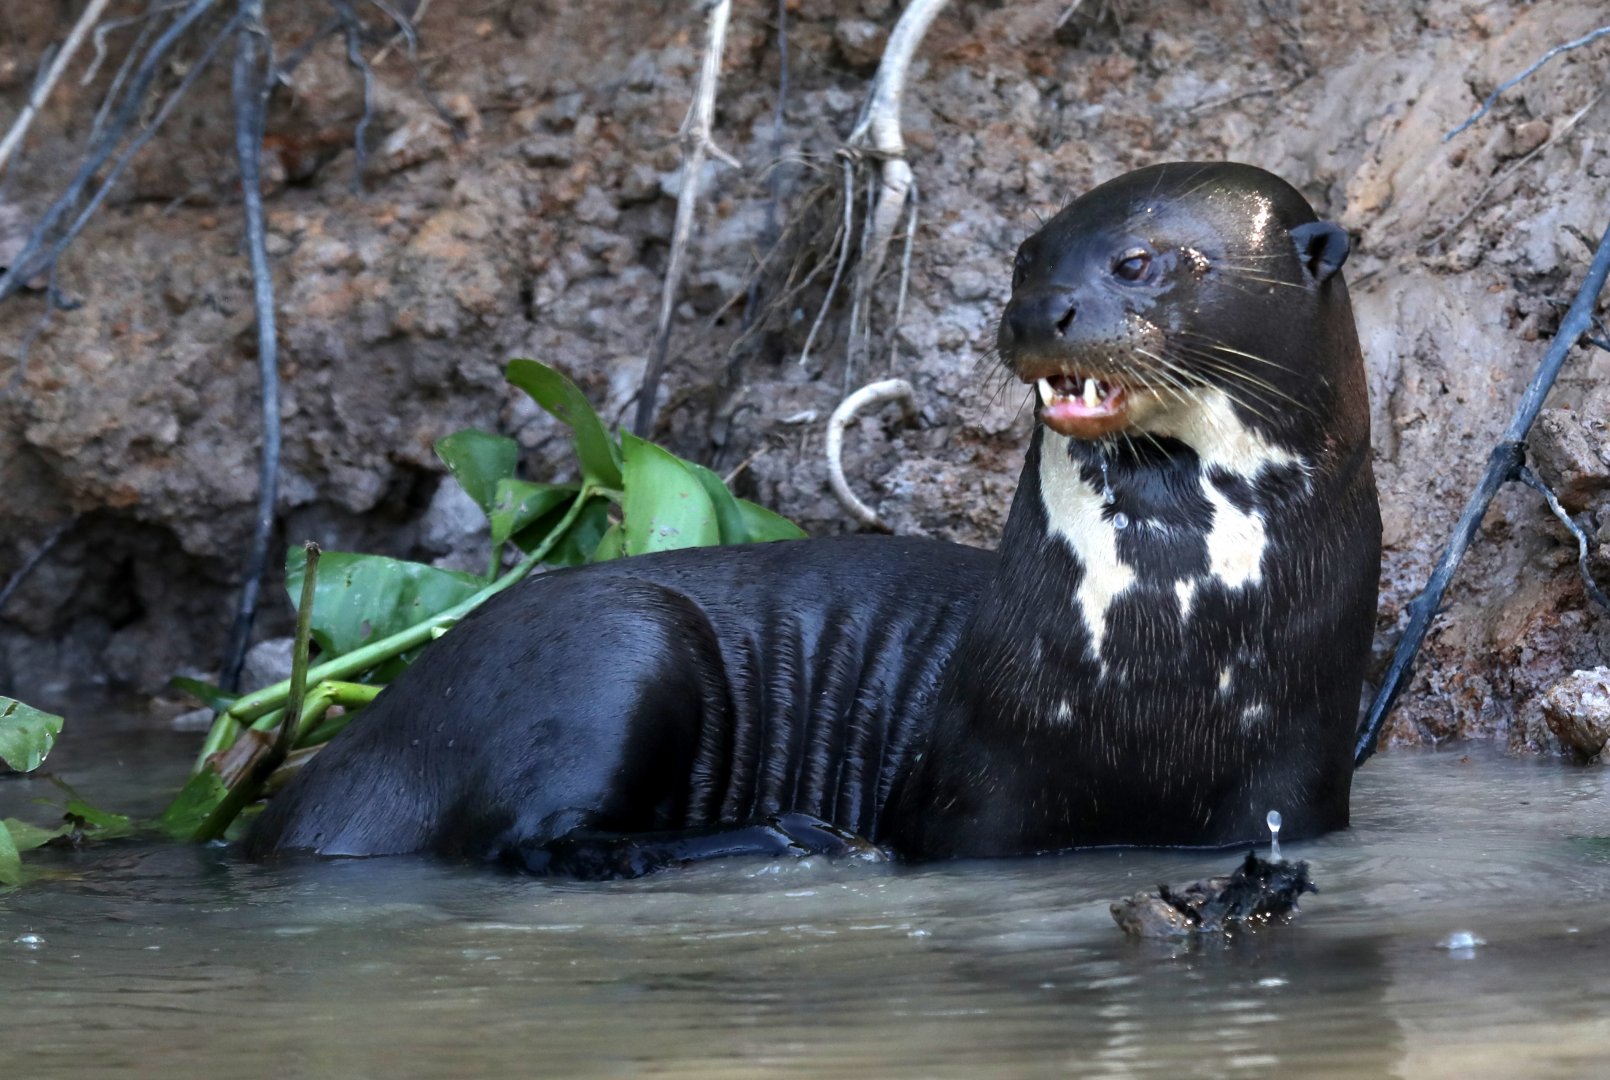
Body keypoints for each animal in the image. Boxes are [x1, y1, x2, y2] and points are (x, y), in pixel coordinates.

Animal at [246, 162, 1380, 877]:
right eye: (1024, 258)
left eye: (1139, 261)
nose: (1035, 310)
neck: (1168, 647)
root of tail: (356, 750)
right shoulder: (976, 794)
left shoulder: (1290, 782)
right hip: (611, 648)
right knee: (538, 840)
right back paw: (793, 838)